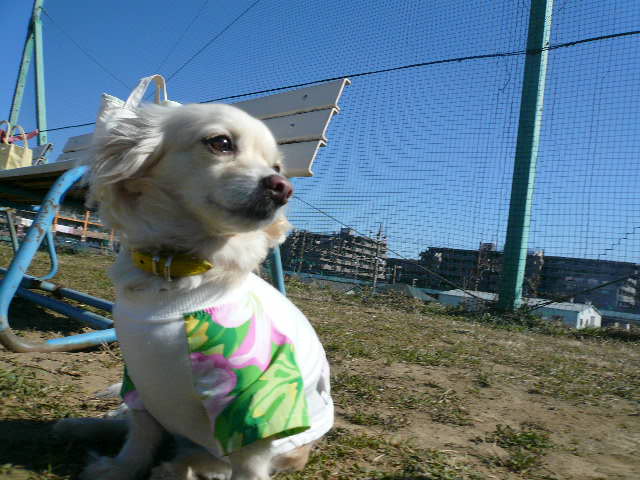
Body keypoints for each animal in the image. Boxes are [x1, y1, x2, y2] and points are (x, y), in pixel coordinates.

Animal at [55, 103, 334, 480]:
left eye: (277, 168)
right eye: (221, 143)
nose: (283, 187)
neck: (176, 268)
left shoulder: (255, 400)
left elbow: (248, 463)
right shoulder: (141, 379)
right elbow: (141, 433)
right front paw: (122, 468)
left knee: (216, 460)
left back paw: (180, 467)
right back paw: (80, 426)